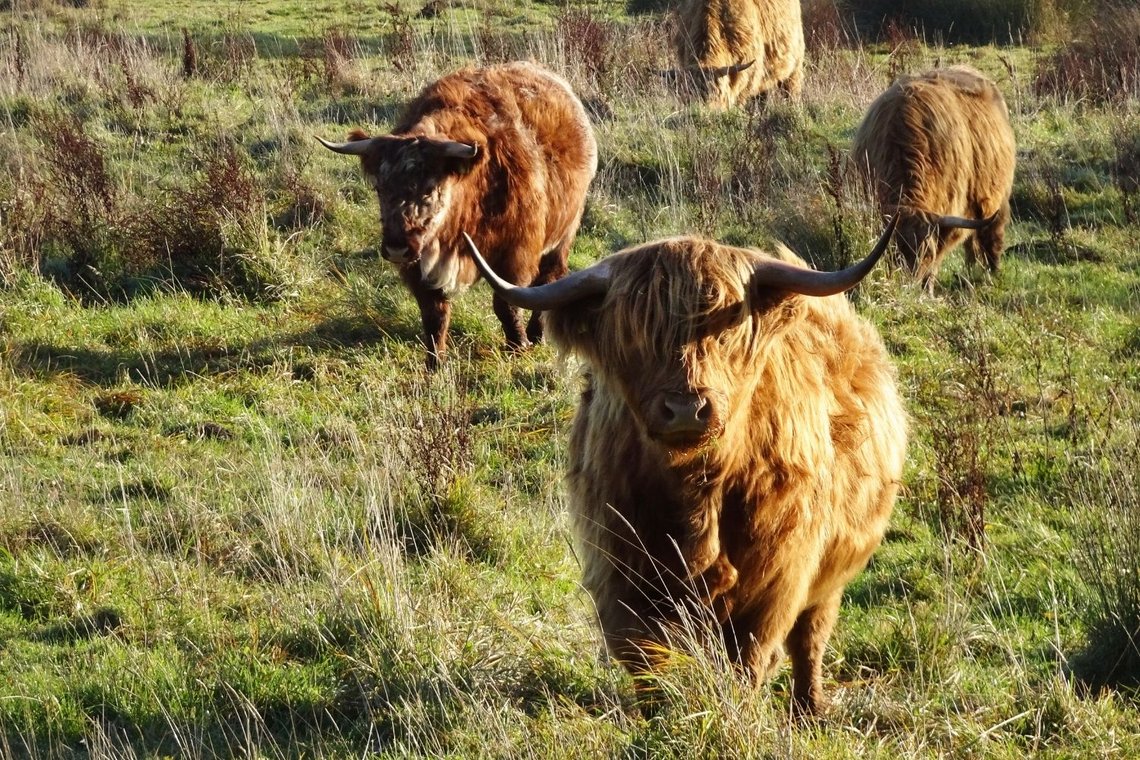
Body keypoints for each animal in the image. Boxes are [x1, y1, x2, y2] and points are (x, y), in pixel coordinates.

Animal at [318, 62, 597, 369]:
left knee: (550, 277)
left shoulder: (517, 252)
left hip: (563, 233)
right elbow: (434, 313)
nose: (396, 248)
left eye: (429, 189)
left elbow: (506, 303)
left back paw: (536, 333)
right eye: (380, 187)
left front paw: (518, 346)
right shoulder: (419, 266)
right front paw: (435, 363)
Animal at [463, 216, 907, 716]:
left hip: (829, 574)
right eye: (635, 331)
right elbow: (644, 656)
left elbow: (748, 657)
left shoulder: (776, 578)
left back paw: (808, 710)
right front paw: (658, 717)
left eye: (727, 326)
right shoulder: (620, 570)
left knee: (810, 638)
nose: (685, 409)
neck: (695, 496)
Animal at [851, 65, 1017, 294]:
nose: (908, 286)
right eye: (893, 249)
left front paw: (928, 289)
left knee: (992, 236)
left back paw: (992, 275)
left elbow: (939, 258)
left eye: (926, 253)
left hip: (994, 199)